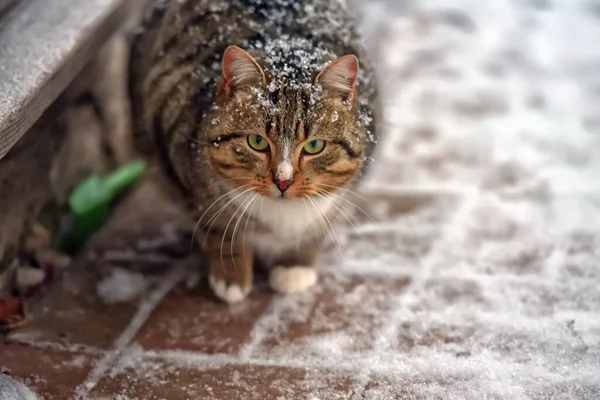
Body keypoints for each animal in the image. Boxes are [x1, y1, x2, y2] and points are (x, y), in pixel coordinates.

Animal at [129, 0, 380, 302]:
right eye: (257, 142)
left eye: (314, 146)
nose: (283, 181)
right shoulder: (183, 170)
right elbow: (220, 229)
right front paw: (232, 277)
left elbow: (318, 227)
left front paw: (295, 267)